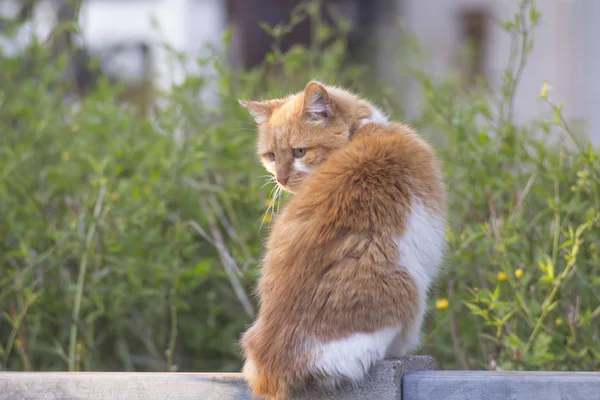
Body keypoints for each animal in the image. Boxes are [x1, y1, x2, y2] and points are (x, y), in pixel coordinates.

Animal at [238, 79, 446, 398]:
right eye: (271, 156)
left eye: (299, 151)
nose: (281, 179)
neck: (362, 131)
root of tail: (277, 361)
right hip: (410, 286)